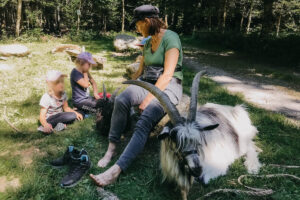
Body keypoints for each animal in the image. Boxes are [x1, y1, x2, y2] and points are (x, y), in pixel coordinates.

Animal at [123, 71, 262, 200]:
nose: (197, 169)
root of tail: (234, 109)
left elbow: (204, 180)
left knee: (250, 147)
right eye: (175, 139)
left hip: (242, 138)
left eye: (198, 141)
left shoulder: (217, 166)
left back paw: (252, 167)